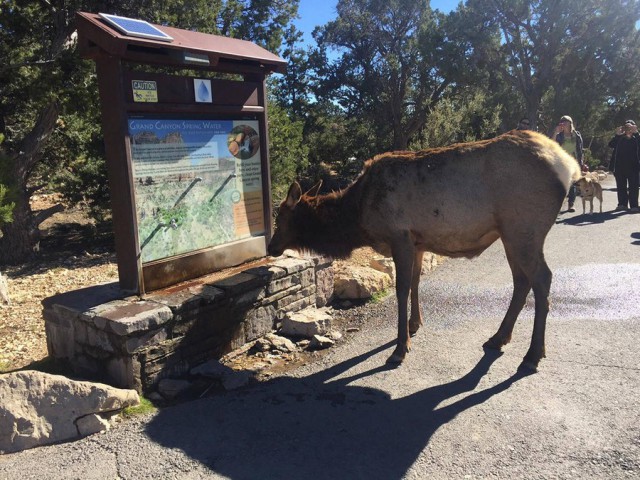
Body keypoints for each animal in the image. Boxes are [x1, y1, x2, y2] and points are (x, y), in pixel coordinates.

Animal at [268, 130, 584, 372]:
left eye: (280, 218)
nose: (271, 246)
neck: (358, 215)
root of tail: (569, 166)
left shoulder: (400, 236)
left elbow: (401, 289)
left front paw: (400, 348)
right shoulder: (418, 242)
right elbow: (416, 283)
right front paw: (414, 325)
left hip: (524, 229)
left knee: (542, 278)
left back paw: (532, 355)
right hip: (510, 235)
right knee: (522, 281)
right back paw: (498, 338)